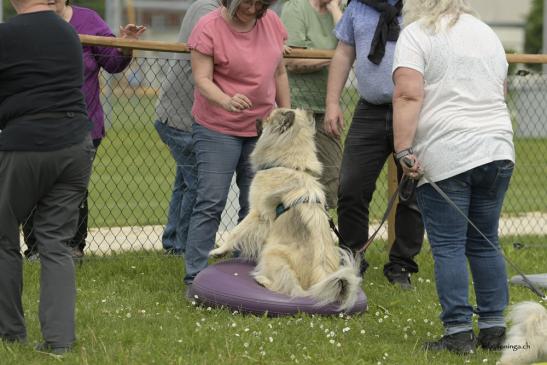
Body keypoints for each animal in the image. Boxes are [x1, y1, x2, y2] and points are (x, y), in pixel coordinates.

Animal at [212, 106, 362, 308]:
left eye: (268, 118)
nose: (257, 118)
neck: (289, 164)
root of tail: (320, 282)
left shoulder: (258, 213)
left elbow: (237, 231)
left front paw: (219, 250)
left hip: (272, 251)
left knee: (293, 290)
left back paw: (263, 280)